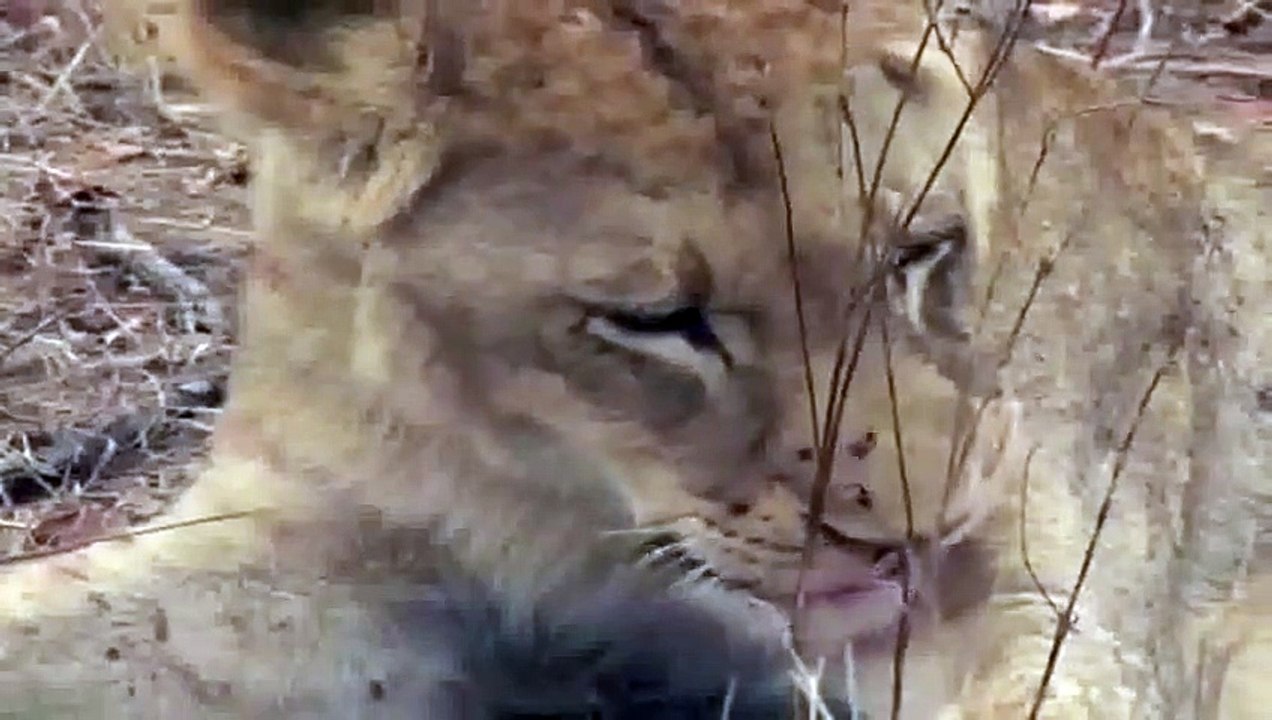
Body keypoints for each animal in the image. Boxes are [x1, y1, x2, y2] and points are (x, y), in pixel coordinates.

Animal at [2, 1, 1265, 718]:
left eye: (923, 248)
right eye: (657, 319)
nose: (910, 542)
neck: (564, 489)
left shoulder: (1026, 600)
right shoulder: (330, 535)